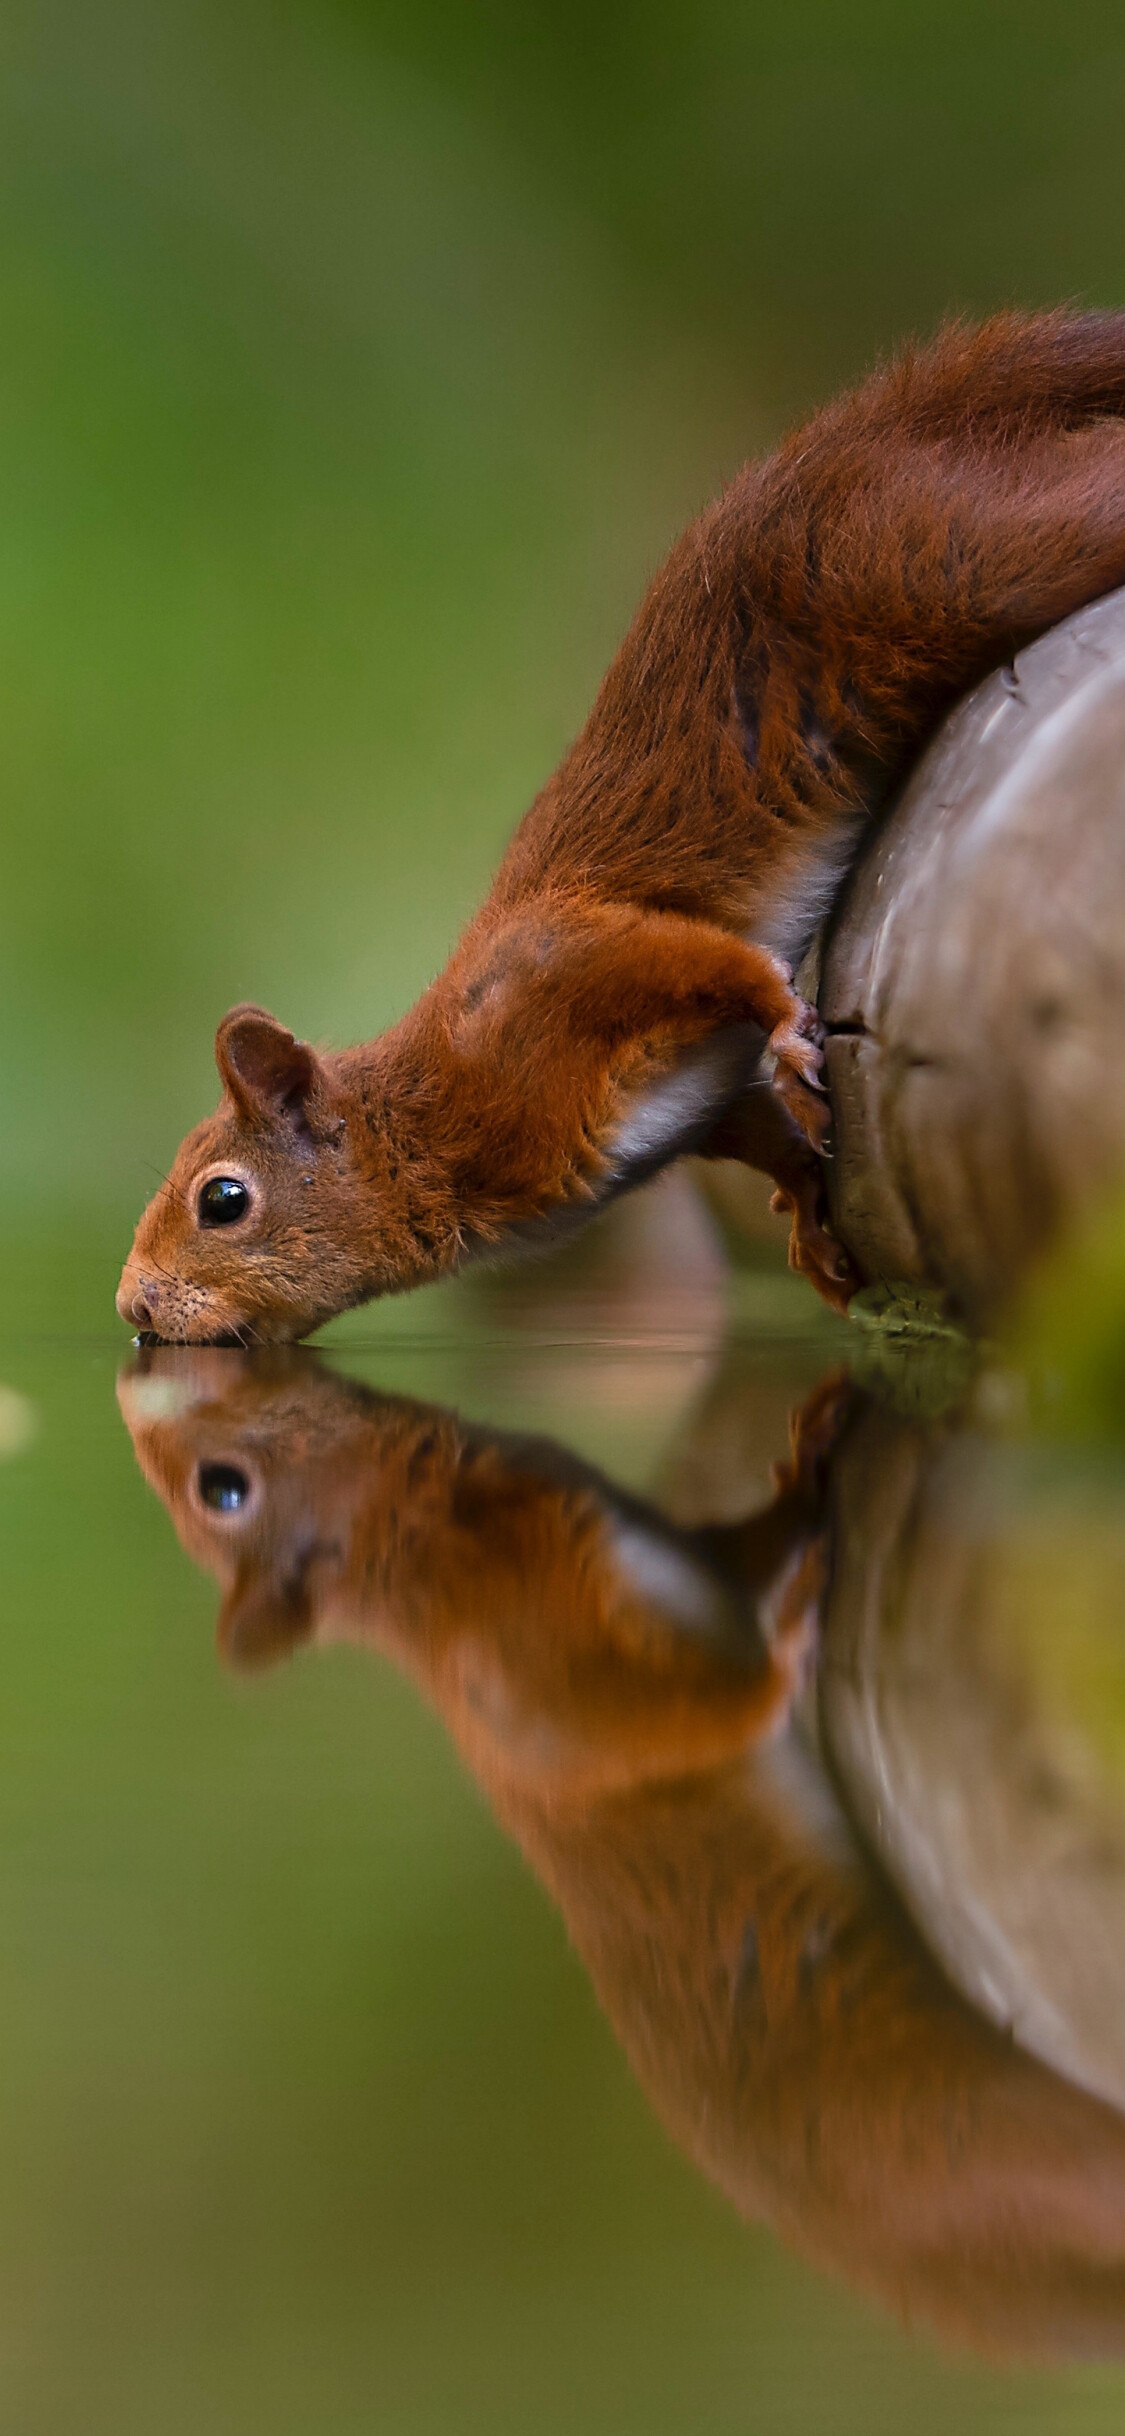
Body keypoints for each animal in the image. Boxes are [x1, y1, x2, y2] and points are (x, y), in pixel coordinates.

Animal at [116, 311, 1125, 1344]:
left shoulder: (562, 976)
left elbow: (703, 957)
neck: (424, 1117)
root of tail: (864, 439)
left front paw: (787, 1030)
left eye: (223, 1200)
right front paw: (807, 1217)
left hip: (954, 552)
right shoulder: (695, 1104)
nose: (132, 1305)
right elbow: (755, 1128)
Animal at [118, 1354, 1125, 2358]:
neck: (426, 1545)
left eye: (221, 1489)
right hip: (986, 2155)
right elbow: (694, 1724)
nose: (140, 1381)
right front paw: (790, 1630)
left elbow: (742, 1552)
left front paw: (810, 1453)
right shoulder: (550, 1678)